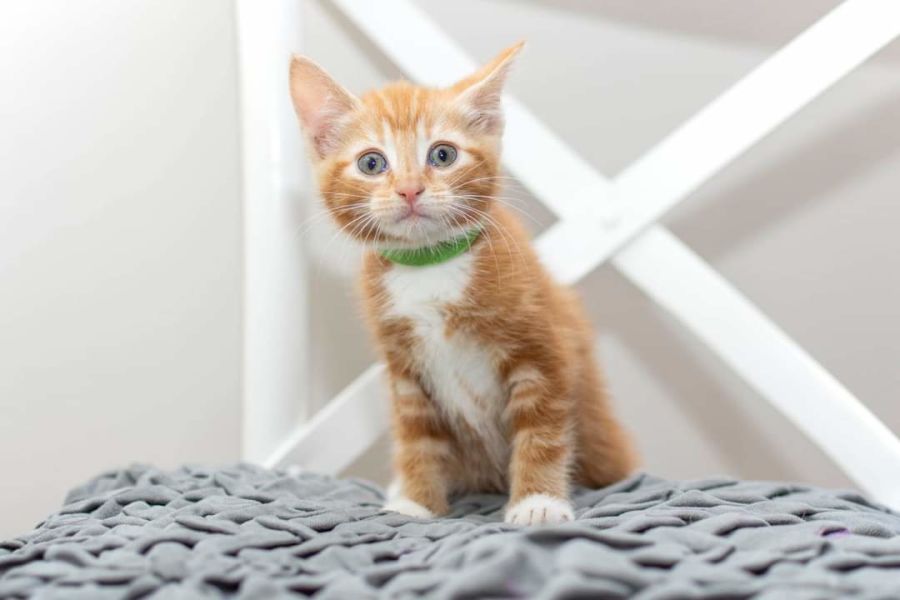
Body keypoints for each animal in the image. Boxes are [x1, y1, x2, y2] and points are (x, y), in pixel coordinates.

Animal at [289, 42, 637, 525]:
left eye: (442, 155)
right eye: (371, 163)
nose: (410, 190)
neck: (428, 265)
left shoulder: (542, 349)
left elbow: (542, 431)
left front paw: (538, 502)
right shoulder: (405, 372)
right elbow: (417, 439)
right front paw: (416, 500)